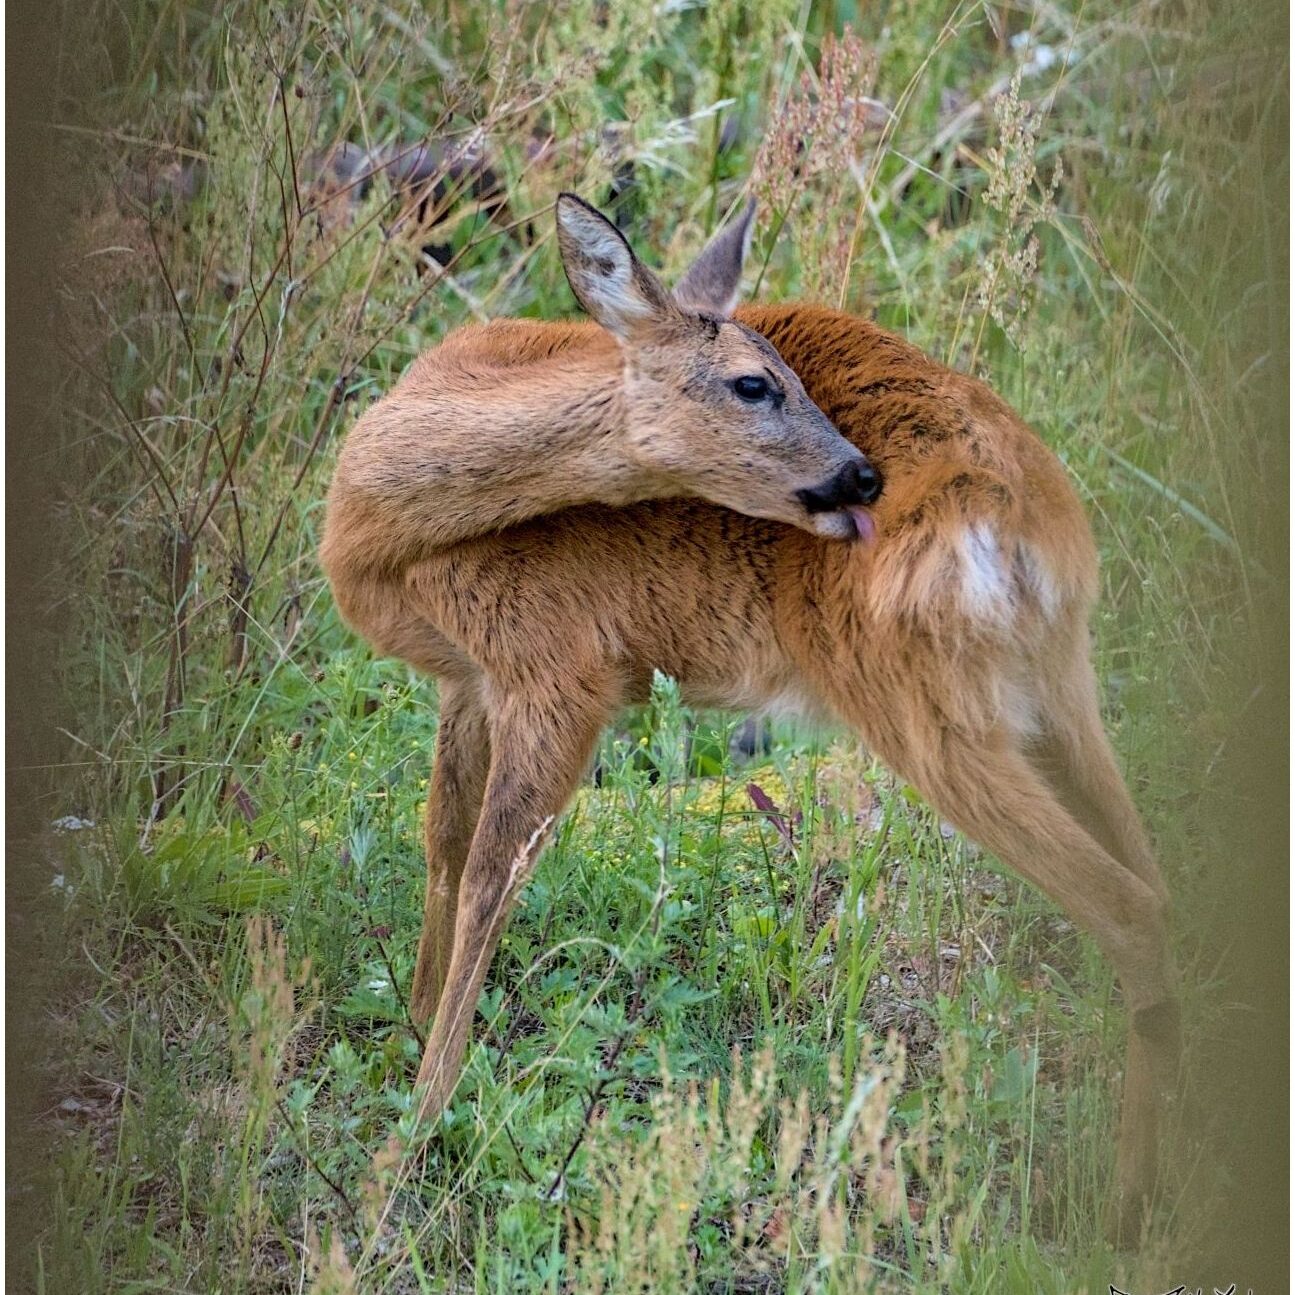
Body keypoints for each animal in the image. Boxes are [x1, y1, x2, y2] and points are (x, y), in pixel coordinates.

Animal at [321, 202, 1175, 1232]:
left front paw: (406, 1145)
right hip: (1058, 684)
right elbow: (442, 843)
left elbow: (494, 875)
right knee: (1163, 888)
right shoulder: (468, 679)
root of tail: (1015, 517)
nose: (859, 477)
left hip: (918, 703)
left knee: (1130, 909)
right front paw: (407, 1030)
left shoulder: (559, 671)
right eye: (753, 382)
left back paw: (1121, 1211)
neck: (382, 527)